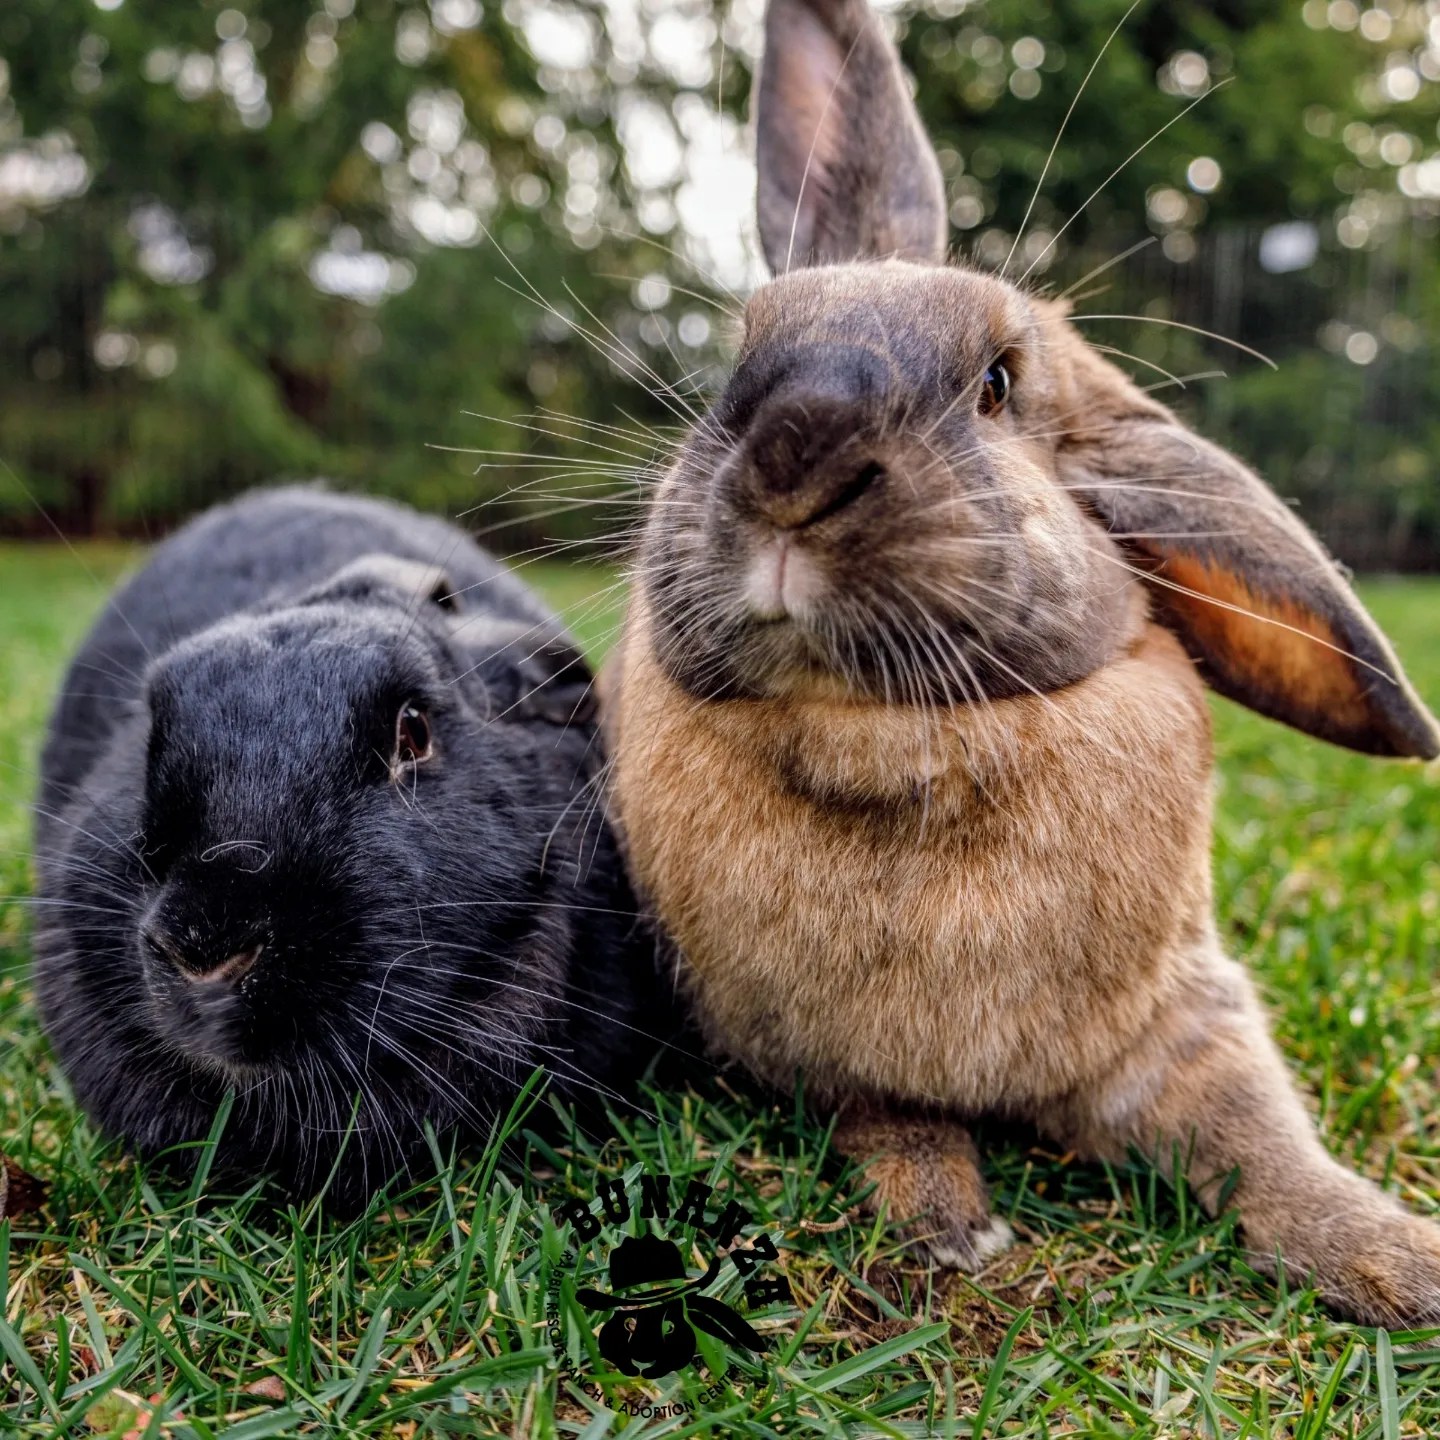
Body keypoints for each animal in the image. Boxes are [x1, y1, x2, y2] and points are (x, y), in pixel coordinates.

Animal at [601, 0, 1440, 1325]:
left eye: (999, 382)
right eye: (741, 353)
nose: (793, 451)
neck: (884, 737)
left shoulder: (1182, 1026)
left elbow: (1268, 1150)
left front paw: (1402, 1264)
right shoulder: (821, 1060)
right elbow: (892, 1121)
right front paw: (946, 1226)